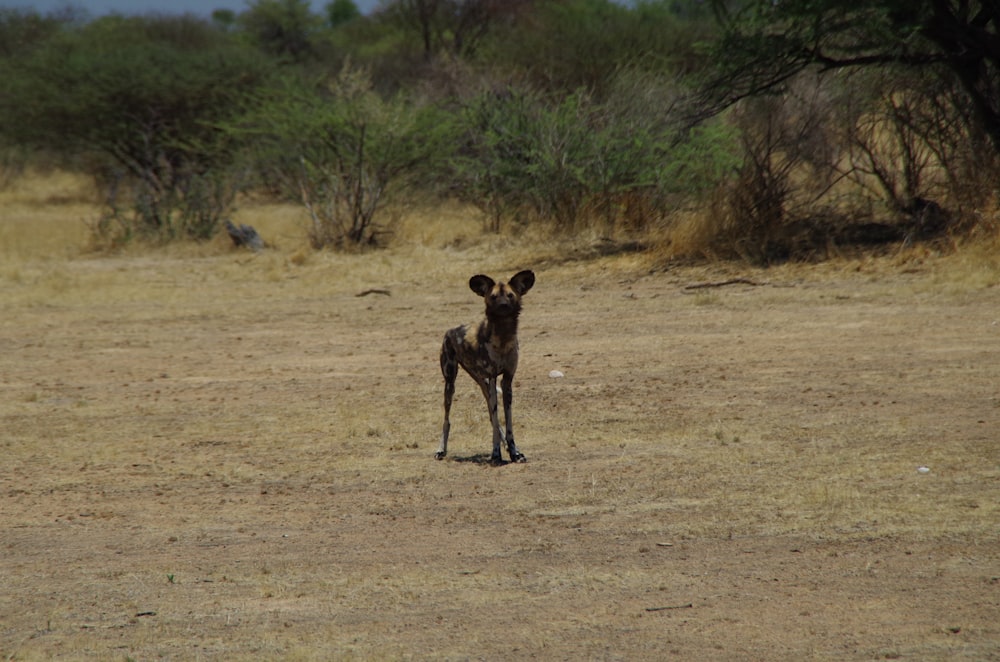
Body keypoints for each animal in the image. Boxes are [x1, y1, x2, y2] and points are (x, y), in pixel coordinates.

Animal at [436, 270, 536, 466]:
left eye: (510, 295)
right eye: (494, 296)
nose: (503, 305)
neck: (503, 339)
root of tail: (451, 330)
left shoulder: (506, 380)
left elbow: (506, 421)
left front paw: (514, 452)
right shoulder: (493, 377)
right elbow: (497, 421)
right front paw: (496, 454)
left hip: (482, 383)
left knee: (491, 415)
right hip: (451, 383)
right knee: (447, 419)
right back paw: (441, 450)